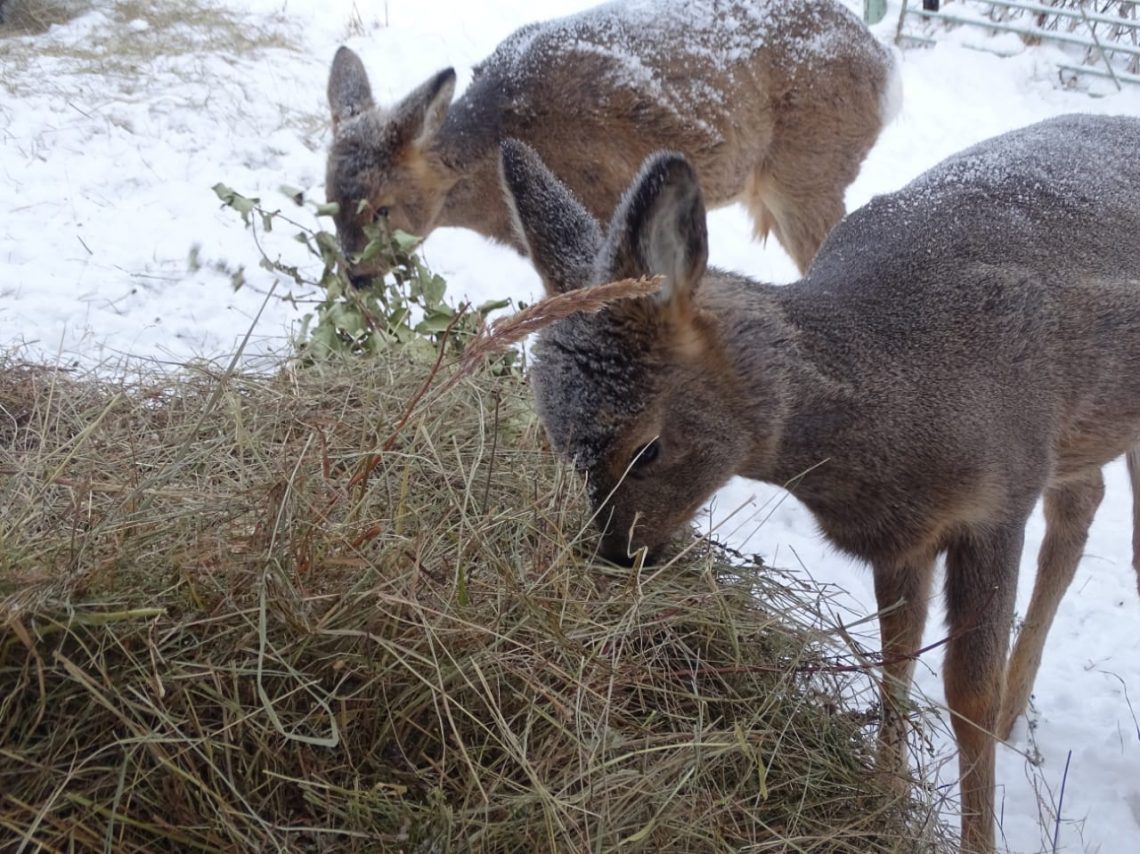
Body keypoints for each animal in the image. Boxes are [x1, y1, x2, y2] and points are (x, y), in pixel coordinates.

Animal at [503, 115, 1140, 852]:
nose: (615, 554)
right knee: (1084, 502)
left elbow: (965, 696)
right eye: (562, 446)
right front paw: (883, 799)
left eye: (647, 449)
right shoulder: (907, 535)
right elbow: (896, 654)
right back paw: (1019, 708)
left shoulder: (1001, 494)